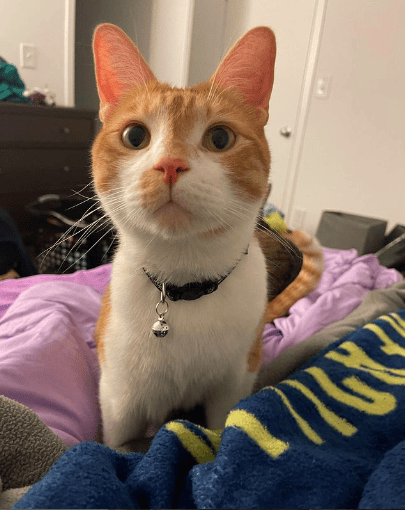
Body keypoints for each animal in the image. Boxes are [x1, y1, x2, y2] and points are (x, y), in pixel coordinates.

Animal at [91, 23, 322, 446]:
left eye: (219, 139)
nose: (170, 165)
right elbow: (115, 445)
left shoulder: (232, 387)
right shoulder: (118, 402)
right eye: (135, 136)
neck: (184, 282)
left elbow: (219, 431)